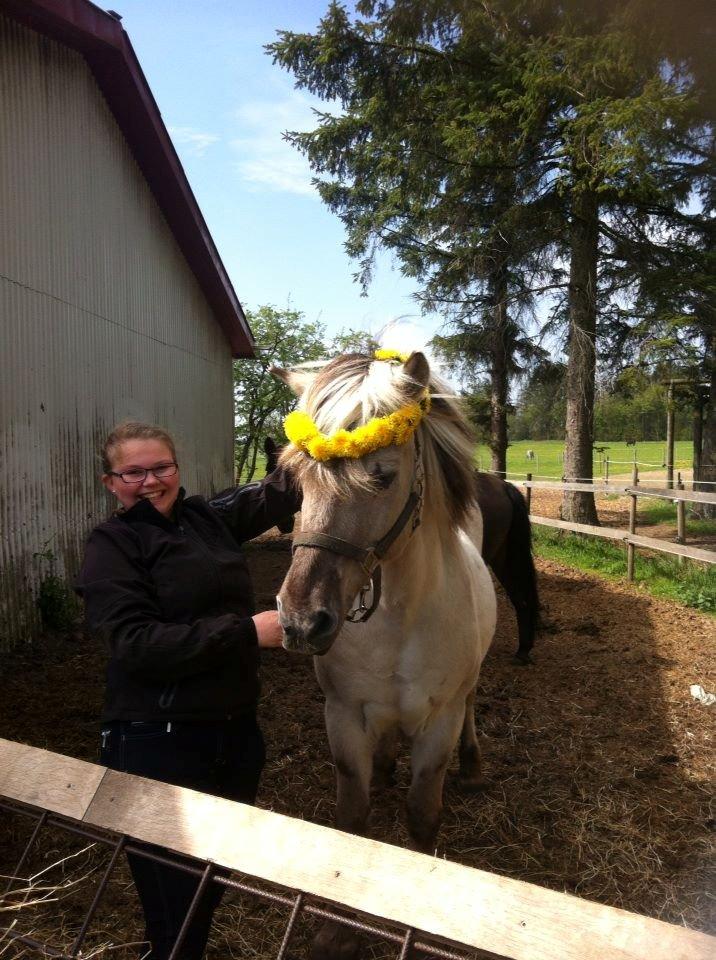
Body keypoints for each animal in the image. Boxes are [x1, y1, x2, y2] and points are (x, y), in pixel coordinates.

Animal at [272, 350, 496, 864]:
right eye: (299, 478)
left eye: (383, 476)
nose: (301, 622)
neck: (398, 622)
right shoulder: (344, 717)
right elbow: (353, 816)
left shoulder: (439, 727)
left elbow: (422, 817)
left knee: (473, 699)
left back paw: (472, 765)